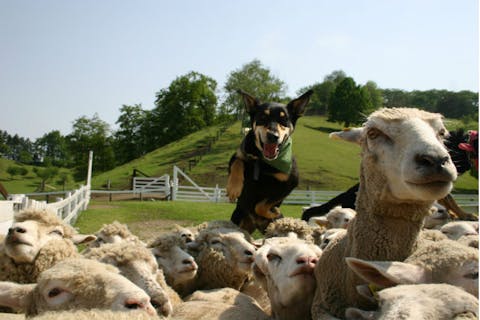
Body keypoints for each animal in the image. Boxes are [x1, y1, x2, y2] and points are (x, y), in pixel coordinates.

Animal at [227, 89, 314, 234]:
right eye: (262, 117)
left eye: (284, 120)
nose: (273, 136)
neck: (263, 162)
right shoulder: (238, 155)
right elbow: (237, 163)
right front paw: (234, 188)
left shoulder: (290, 183)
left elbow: (262, 205)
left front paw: (273, 212)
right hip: (237, 217)